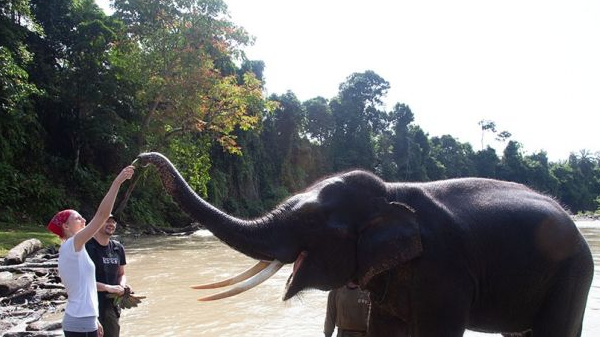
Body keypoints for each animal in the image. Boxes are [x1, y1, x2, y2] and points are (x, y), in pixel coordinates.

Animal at [137, 153, 596, 336]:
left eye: (309, 220)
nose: (140, 160)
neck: (392, 191)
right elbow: (382, 328)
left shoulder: (445, 271)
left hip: (574, 273)